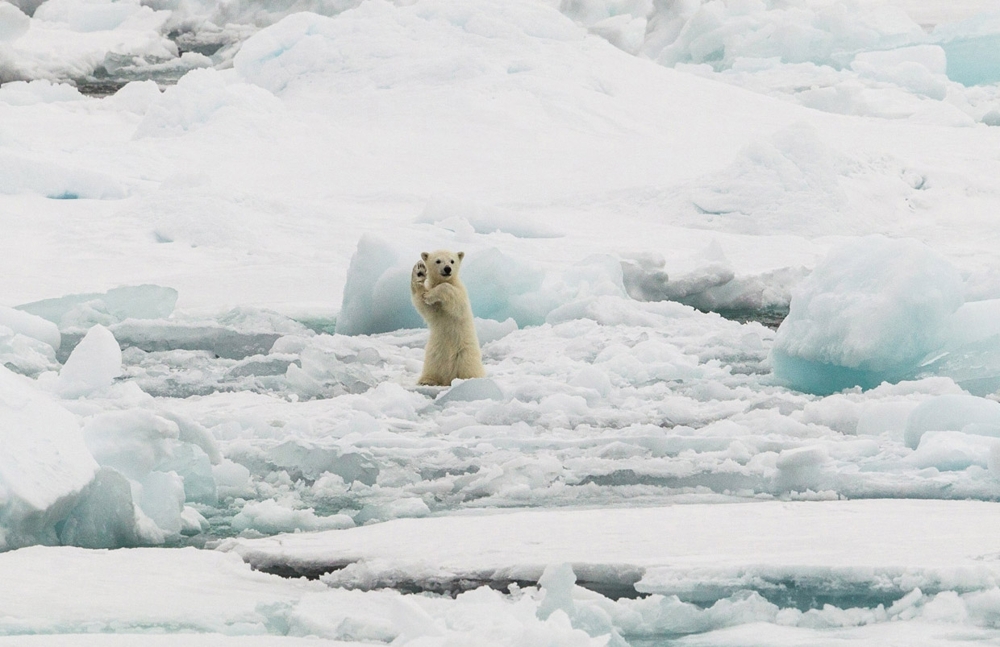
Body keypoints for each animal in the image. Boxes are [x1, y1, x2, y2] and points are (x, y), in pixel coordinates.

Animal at [406, 251, 484, 388]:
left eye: (452, 261)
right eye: (438, 261)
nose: (447, 269)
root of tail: (449, 378)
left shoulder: (460, 294)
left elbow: (452, 296)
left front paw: (430, 294)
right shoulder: (435, 309)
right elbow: (423, 305)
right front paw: (419, 270)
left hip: (465, 354)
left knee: (468, 367)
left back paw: (467, 380)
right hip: (434, 354)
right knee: (432, 367)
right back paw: (426, 380)